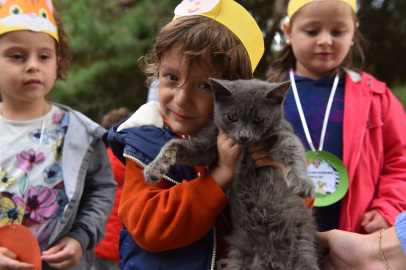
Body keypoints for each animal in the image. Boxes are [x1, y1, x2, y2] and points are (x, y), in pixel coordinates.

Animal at [144, 78, 318, 270]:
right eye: (232, 117)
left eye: (258, 120)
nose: (243, 136)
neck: (244, 148)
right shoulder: (207, 144)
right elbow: (174, 143)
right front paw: (154, 168)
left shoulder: (282, 134)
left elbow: (293, 151)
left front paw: (302, 182)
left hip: (302, 255)